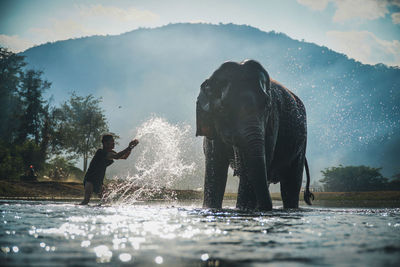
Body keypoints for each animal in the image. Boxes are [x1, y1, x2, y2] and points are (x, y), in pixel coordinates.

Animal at [195, 60, 314, 211]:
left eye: (267, 106)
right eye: (222, 109)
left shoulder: (272, 122)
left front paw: (243, 210)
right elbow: (215, 167)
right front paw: (212, 209)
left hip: (301, 144)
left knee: (290, 185)